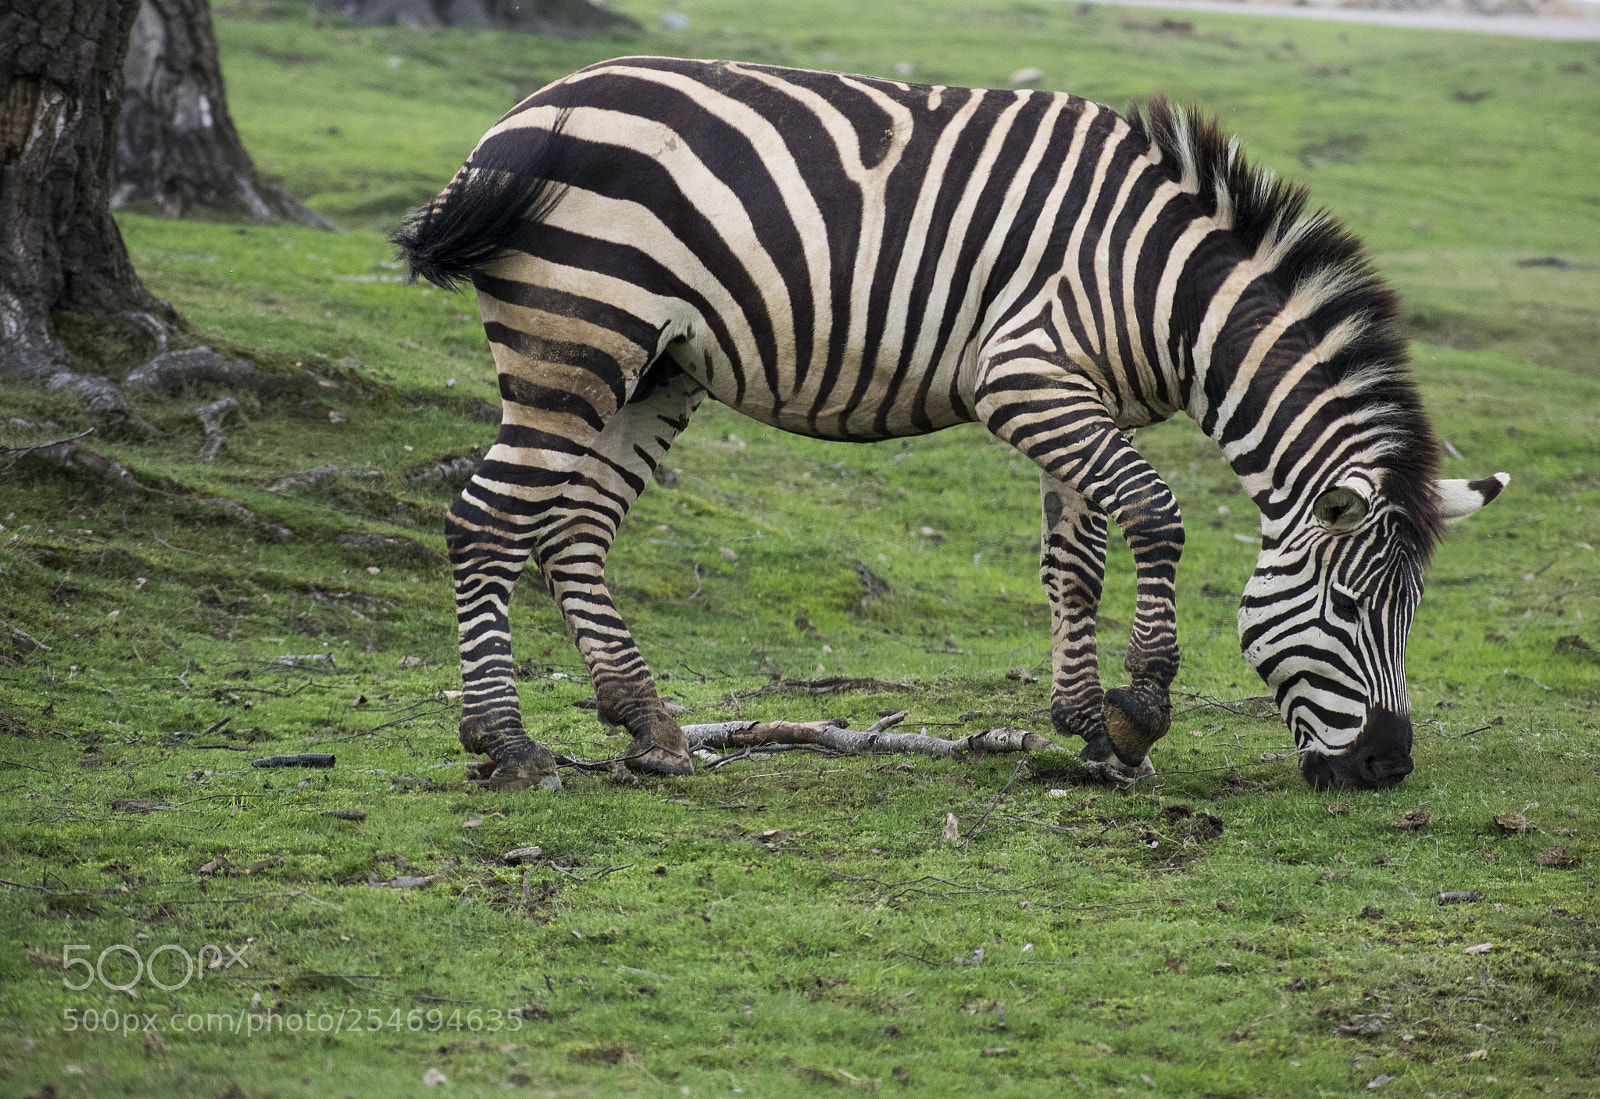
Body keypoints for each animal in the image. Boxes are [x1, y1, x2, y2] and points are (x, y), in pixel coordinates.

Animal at [392, 56, 1506, 793]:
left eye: (1413, 613)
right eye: (1354, 610)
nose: (1385, 767)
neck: (1167, 289)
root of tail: (521, 112)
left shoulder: (1076, 395)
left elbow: (1075, 563)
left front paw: (1085, 728)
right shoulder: (1022, 374)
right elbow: (1154, 515)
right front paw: (1141, 709)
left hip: (655, 366)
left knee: (573, 529)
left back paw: (649, 725)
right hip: (576, 334)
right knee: (484, 522)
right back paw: (508, 745)